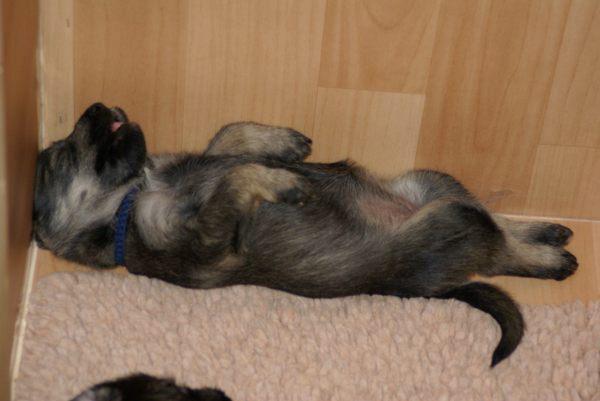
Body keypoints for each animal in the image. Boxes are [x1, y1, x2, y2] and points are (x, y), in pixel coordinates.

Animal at [33, 103, 578, 366]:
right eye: (59, 157)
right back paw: (550, 259)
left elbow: (226, 137)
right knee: (497, 248)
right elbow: (236, 177)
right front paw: (278, 180)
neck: (127, 200)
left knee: (494, 218)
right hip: (446, 219)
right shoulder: (210, 239)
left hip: (432, 184)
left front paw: (281, 142)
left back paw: (547, 229)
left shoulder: (203, 159)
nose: (98, 103)